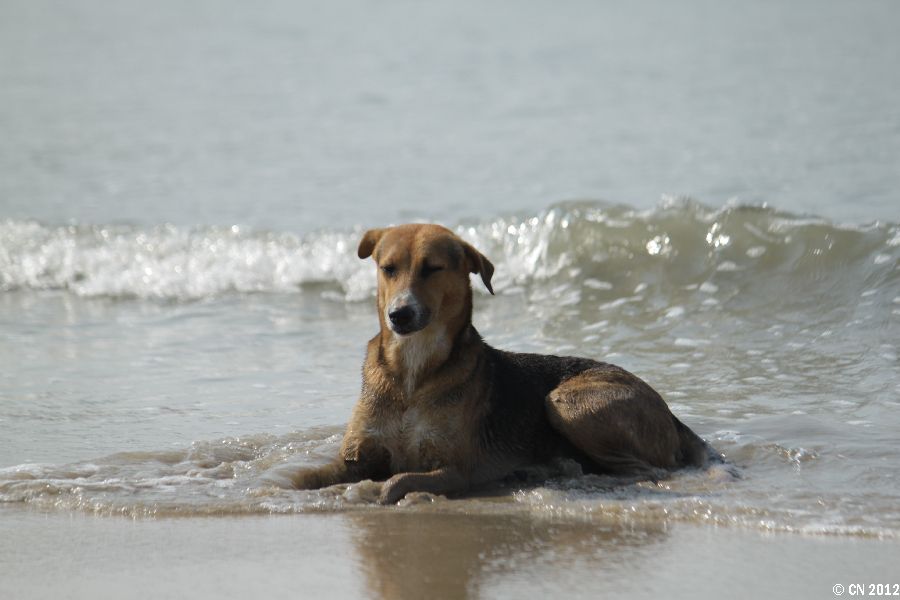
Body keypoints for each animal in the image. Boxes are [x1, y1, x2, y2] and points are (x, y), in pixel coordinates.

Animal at [289, 223, 718, 504]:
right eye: (388, 269)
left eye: (432, 268)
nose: (399, 315)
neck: (413, 372)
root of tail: (670, 412)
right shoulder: (354, 456)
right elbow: (305, 476)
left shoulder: (455, 470)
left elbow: (399, 480)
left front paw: (375, 490)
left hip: (565, 402)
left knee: (645, 470)